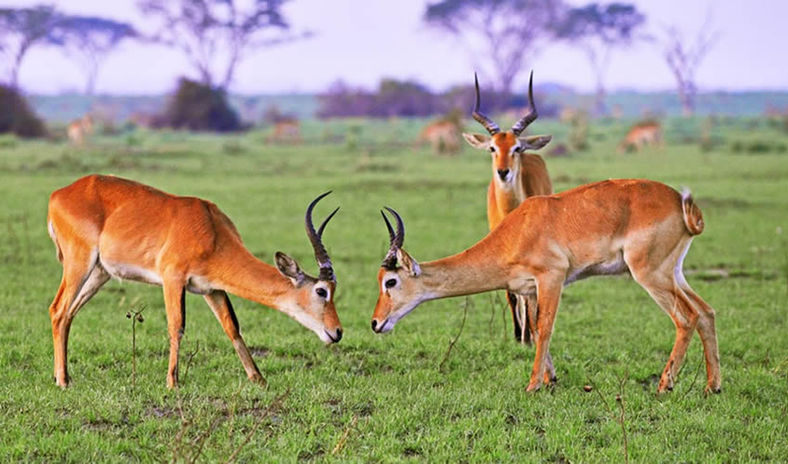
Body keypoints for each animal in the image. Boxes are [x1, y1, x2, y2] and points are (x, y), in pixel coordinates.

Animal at [47, 174, 342, 388]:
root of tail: (58, 194)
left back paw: (63, 376)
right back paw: (63, 382)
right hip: (79, 263)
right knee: (58, 309)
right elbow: (176, 326)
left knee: (68, 314)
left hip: (99, 272)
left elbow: (232, 327)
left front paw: (258, 379)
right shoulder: (172, 278)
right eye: (321, 291)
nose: (337, 332)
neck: (212, 232)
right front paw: (172, 383)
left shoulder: (212, 289)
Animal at [370, 179, 721, 394]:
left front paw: (533, 385)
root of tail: (682, 205)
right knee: (706, 312)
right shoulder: (529, 289)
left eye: (391, 281)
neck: (518, 231)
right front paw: (551, 379)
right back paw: (712, 387)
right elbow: (537, 329)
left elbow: (546, 326)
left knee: (686, 318)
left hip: (649, 274)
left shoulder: (552, 277)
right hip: (674, 272)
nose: (375, 323)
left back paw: (665, 385)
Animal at [461, 72, 554, 373]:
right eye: (493, 147)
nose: (504, 172)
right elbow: (511, 294)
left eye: (516, 147)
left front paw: (528, 336)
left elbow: (529, 295)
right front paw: (517, 336)